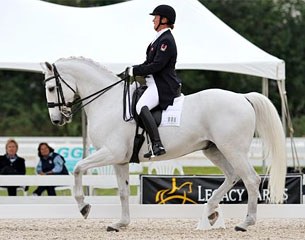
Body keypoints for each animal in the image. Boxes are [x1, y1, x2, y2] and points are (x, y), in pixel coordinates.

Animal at [41, 57, 286, 232]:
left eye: (51, 88)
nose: (57, 120)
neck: (108, 102)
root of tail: (243, 97)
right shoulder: (120, 160)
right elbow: (123, 191)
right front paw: (121, 223)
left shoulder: (110, 152)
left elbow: (77, 168)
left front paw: (83, 207)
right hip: (214, 149)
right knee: (232, 176)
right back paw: (210, 212)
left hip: (233, 149)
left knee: (251, 179)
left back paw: (245, 223)